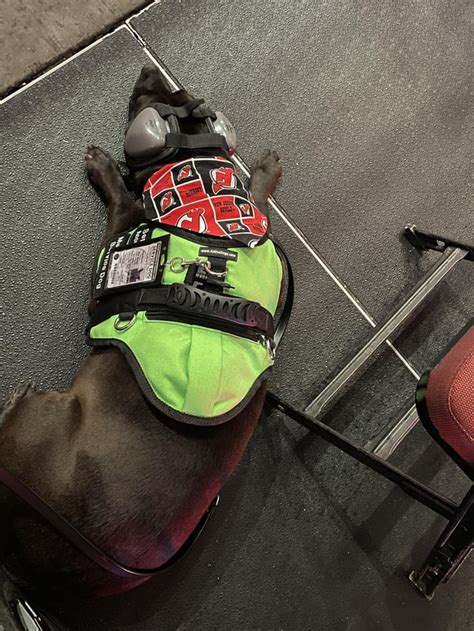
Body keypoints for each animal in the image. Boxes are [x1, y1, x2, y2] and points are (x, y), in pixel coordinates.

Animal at [0, 64, 284, 600]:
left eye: (144, 98)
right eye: (177, 87)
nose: (149, 67)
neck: (205, 199)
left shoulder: (122, 232)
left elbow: (119, 197)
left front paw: (103, 167)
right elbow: (258, 196)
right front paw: (266, 171)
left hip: (40, 419)